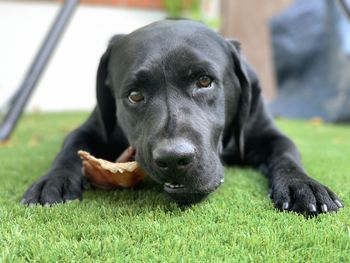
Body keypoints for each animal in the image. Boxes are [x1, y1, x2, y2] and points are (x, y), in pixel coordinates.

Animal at [21, 20, 342, 214]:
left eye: (204, 81)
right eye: (134, 95)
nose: (174, 158)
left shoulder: (266, 132)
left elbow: (286, 152)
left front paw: (302, 185)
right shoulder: (93, 127)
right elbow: (70, 146)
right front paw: (53, 180)